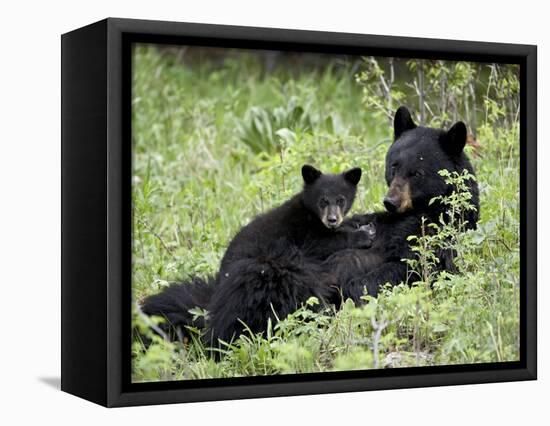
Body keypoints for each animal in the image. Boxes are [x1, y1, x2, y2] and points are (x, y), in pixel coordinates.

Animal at [141, 165, 380, 344]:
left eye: (341, 199)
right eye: (323, 200)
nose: (332, 219)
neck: (311, 215)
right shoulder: (302, 232)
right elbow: (323, 243)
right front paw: (364, 234)